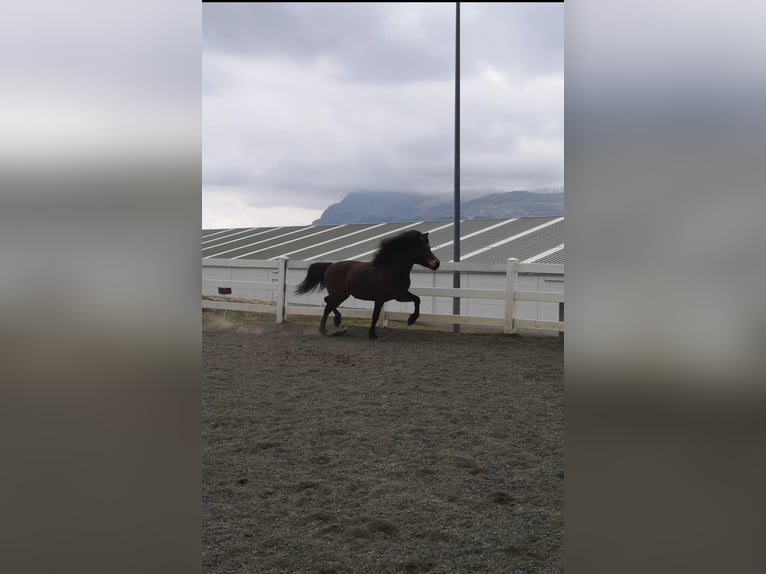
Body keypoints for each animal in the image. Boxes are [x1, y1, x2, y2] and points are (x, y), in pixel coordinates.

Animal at [296, 231, 440, 340]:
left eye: (429, 247)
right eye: (420, 247)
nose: (436, 263)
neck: (391, 269)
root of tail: (330, 266)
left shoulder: (399, 295)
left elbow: (417, 299)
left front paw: (411, 320)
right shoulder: (380, 298)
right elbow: (375, 315)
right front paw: (372, 335)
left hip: (340, 294)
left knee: (328, 303)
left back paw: (330, 326)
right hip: (340, 294)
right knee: (328, 305)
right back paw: (328, 327)